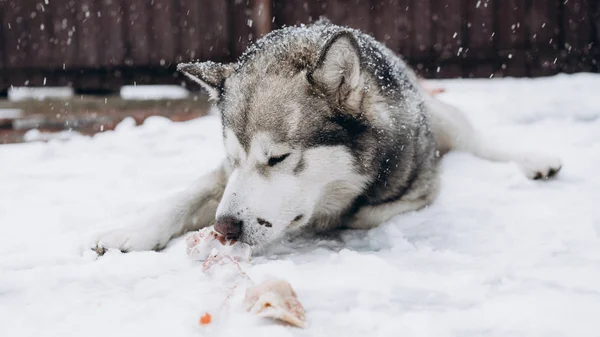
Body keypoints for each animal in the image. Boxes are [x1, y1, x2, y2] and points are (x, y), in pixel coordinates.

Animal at [90, 19, 564, 252]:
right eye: (233, 159)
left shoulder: (417, 188)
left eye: (278, 158)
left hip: (443, 119)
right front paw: (131, 231)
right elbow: (185, 195)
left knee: (476, 138)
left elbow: (362, 213)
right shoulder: (223, 178)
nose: (224, 228)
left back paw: (534, 159)